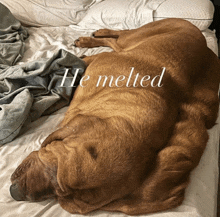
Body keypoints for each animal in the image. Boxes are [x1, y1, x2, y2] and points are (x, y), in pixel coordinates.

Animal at [9, 18, 219, 215]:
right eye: (55, 172)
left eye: (63, 198)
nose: (14, 193)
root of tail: (201, 37)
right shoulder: (101, 60)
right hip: (133, 38)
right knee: (120, 35)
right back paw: (93, 36)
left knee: (114, 42)